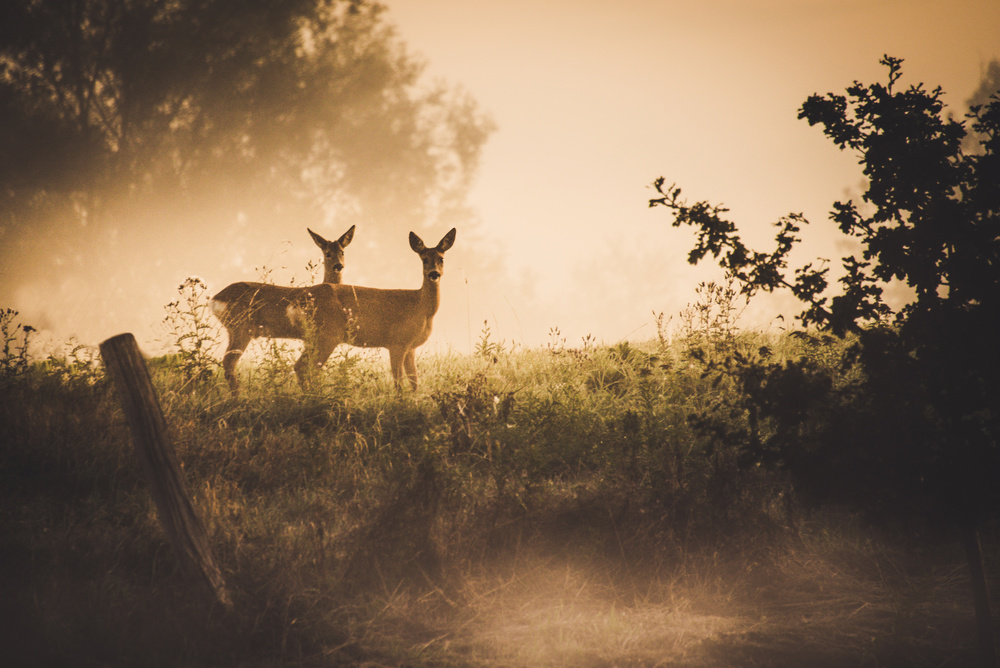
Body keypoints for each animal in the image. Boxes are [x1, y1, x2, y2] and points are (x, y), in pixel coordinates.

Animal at [209, 224, 354, 394]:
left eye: (342, 252)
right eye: (327, 253)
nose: (338, 266)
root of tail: (215, 298)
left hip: (233, 329)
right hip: (241, 326)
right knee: (229, 362)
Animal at [290, 228, 458, 392]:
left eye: (441, 259)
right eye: (424, 259)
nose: (434, 273)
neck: (422, 307)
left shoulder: (411, 347)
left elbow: (414, 383)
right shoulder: (397, 342)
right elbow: (399, 384)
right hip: (324, 335)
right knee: (302, 367)